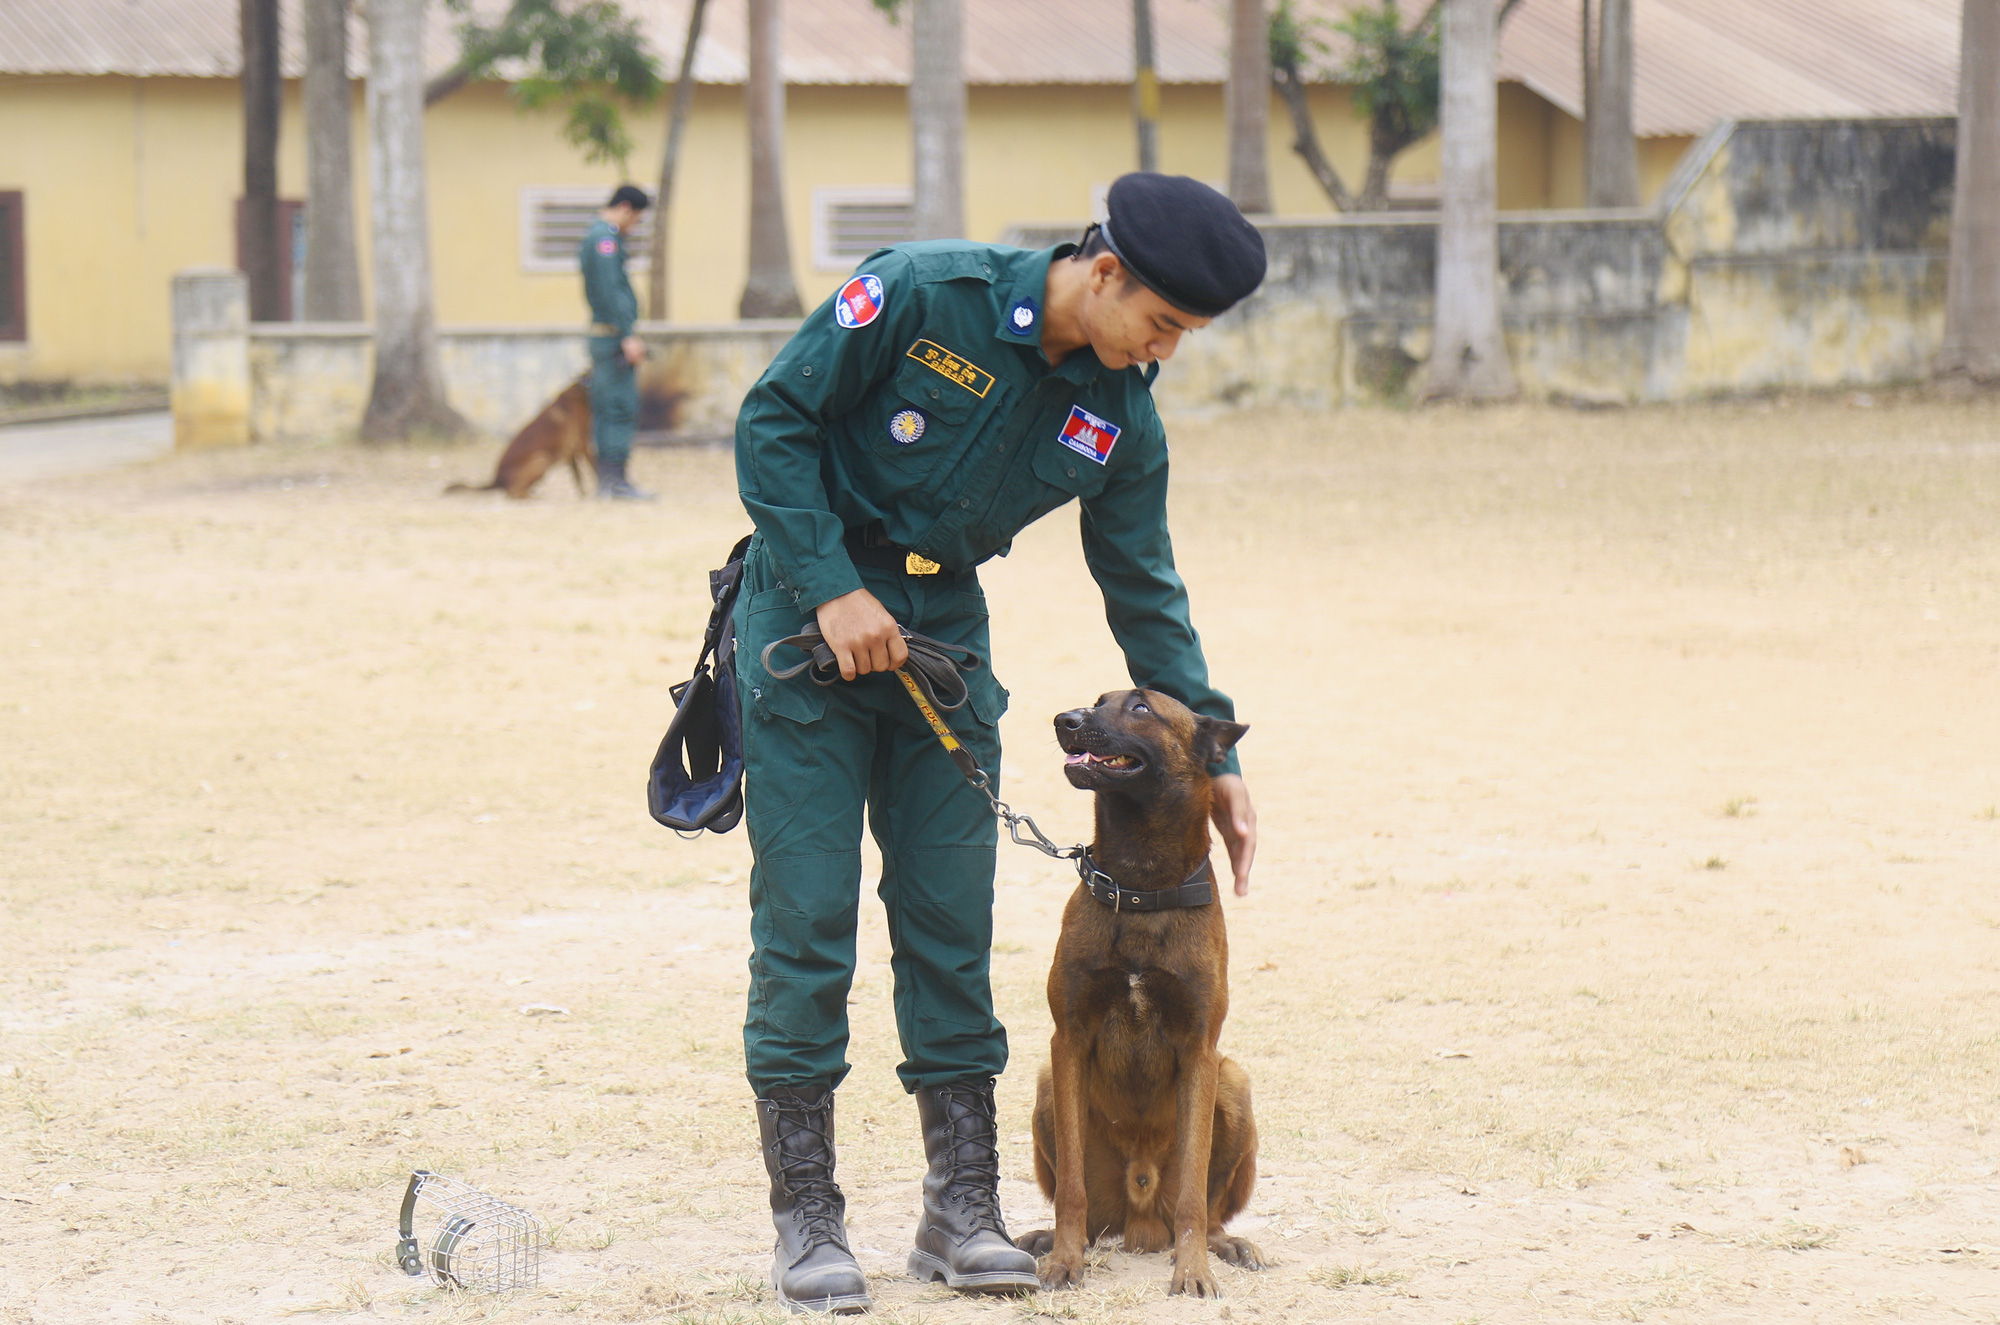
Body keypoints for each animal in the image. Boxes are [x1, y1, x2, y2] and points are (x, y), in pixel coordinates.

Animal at [442, 378, 588, 504]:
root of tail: (496, 479)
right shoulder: (584, 446)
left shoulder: (572, 453)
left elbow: (579, 480)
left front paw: (584, 496)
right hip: (540, 459)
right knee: (512, 493)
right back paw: (531, 498)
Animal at [1024, 688, 1256, 1304]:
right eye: (1097, 700)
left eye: (1141, 709)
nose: (1065, 720)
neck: (1139, 887)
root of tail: (1140, 1215)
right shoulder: (1068, 1042)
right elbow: (1071, 1189)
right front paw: (1064, 1261)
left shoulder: (1201, 1053)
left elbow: (1195, 1195)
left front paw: (1193, 1270)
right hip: (1048, 1087)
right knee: (1083, 1208)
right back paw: (1046, 1239)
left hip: (1232, 1081)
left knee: (1206, 1209)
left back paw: (1223, 1244)